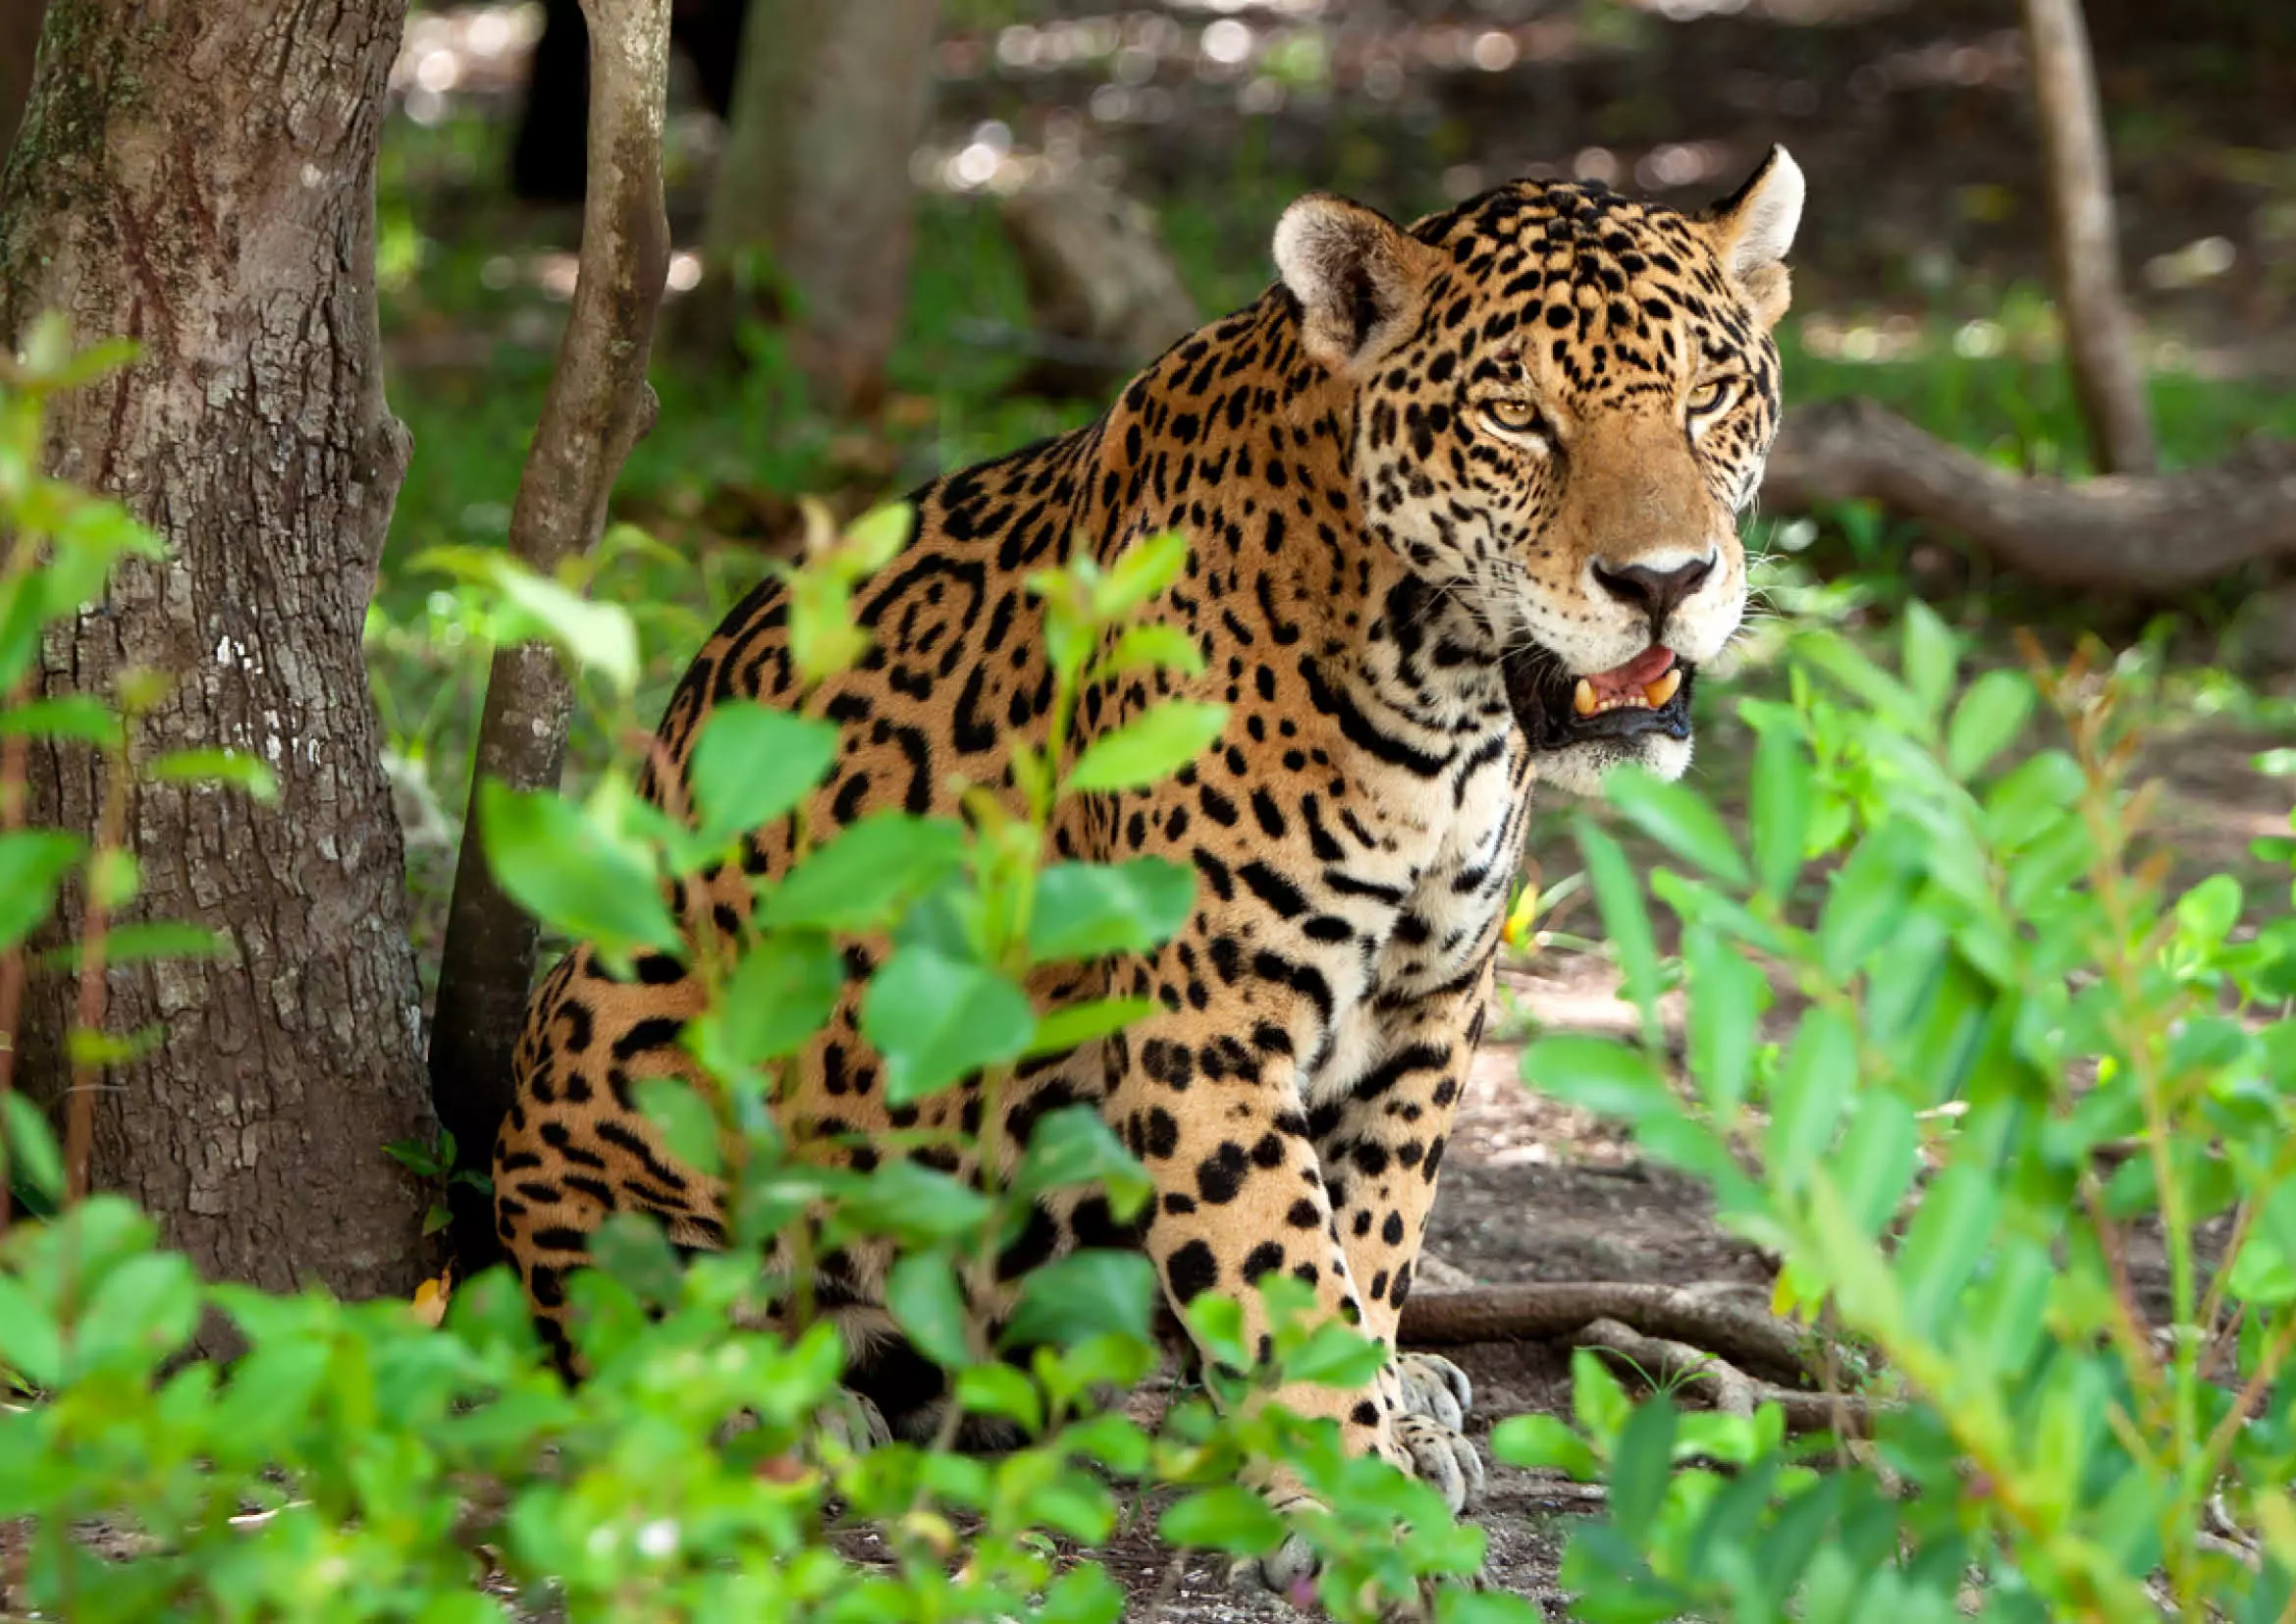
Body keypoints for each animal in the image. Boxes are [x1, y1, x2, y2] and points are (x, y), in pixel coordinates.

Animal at [492, 146, 1804, 1594]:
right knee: (616, 1308)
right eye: (1515, 415)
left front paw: (1380, 1417)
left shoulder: (1430, 1001)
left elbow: (1370, 1233)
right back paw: (767, 1398)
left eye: (1706, 397)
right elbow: (1281, 1251)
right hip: (633, 1019)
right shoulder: (1208, 1013)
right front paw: (1358, 1501)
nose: (1662, 581)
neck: (1444, 683)